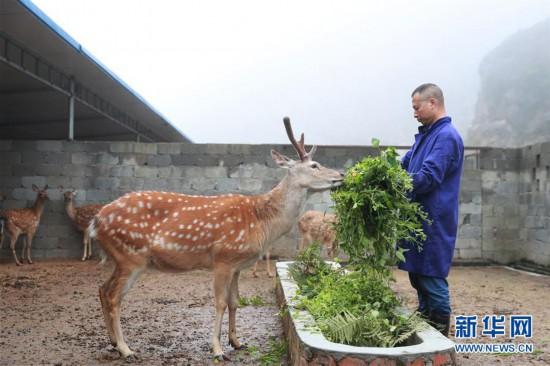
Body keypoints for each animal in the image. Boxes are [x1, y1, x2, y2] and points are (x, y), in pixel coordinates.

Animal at [90, 118, 344, 360]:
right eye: (314, 165)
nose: (341, 175)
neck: (262, 222)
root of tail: (96, 221)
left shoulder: (237, 265)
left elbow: (235, 301)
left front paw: (237, 342)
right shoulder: (223, 258)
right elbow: (220, 302)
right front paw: (217, 349)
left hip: (122, 258)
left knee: (102, 289)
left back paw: (114, 344)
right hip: (131, 255)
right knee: (114, 297)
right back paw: (126, 349)